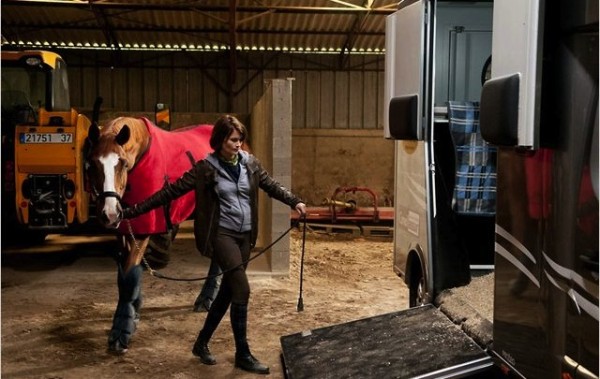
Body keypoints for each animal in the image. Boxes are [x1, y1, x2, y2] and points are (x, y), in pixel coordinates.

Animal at [86, 117, 213, 354]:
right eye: (93, 164)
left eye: (122, 163)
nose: (109, 213)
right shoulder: (124, 228)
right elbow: (125, 275)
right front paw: (133, 311)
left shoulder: (145, 227)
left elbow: (130, 270)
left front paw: (122, 330)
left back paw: (206, 298)